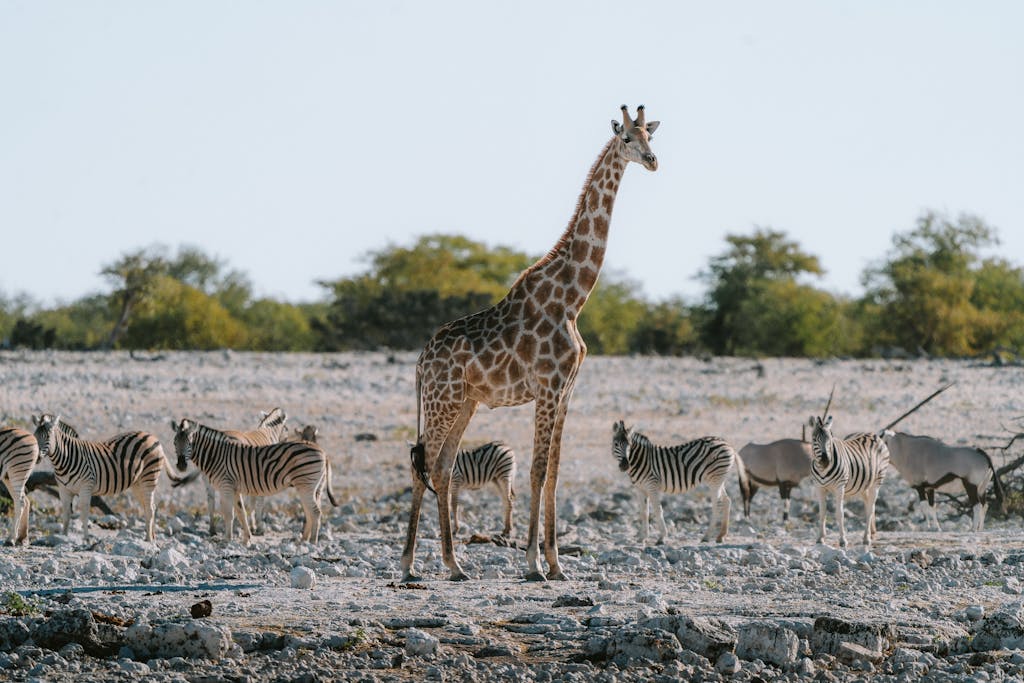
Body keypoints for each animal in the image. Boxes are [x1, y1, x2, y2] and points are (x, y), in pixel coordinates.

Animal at [32, 414, 181, 542]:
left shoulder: (86, 487)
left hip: (149, 478)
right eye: (35, 436)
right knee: (150, 506)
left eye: (48, 436)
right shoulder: (64, 491)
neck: (65, 460)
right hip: (138, 484)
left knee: (149, 508)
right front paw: (63, 536)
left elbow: (84, 514)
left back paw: (149, 540)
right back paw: (150, 537)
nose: (37, 457)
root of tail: (152, 436)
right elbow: (66, 515)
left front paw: (86, 539)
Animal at [169, 418, 335, 544]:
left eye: (190, 442)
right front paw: (246, 539)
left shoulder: (226, 486)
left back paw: (312, 542)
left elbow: (229, 514)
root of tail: (322, 451)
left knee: (315, 512)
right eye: (174, 443)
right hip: (311, 488)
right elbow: (241, 512)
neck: (215, 456)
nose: (181, 465)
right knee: (310, 511)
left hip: (306, 486)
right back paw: (303, 540)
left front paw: (227, 540)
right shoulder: (234, 489)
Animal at [402, 105, 660, 582]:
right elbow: (538, 471)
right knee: (421, 463)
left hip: (465, 402)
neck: (573, 299)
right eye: (627, 139)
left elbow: (554, 472)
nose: (653, 161)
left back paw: (454, 565)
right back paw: (409, 565)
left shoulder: (566, 390)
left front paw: (557, 564)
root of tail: (420, 362)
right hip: (441, 401)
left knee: (442, 467)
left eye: (649, 136)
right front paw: (533, 563)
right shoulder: (547, 387)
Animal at [612, 421, 746, 544]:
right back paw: (721, 536)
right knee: (727, 500)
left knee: (717, 504)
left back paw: (707, 536)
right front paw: (642, 538)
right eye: (616, 444)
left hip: (715, 478)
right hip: (718, 479)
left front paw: (662, 537)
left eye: (629, 445)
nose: (624, 465)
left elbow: (658, 510)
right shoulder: (640, 489)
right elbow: (644, 513)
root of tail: (727, 443)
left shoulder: (652, 485)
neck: (641, 460)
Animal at [807, 413, 890, 548]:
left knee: (870, 509)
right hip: (863, 486)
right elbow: (822, 512)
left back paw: (866, 538)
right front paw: (820, 538)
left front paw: (842, 540)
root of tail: (874, 434)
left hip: (877, 481)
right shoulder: (819, 487)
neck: (823, 470)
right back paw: (871, 533)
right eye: (814, 439)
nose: (825, 461)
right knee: (868, 505)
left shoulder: (839, 487)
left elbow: (839, 513)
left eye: (830, 439)